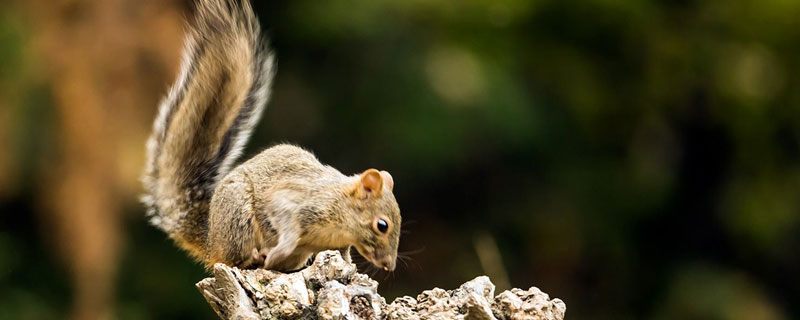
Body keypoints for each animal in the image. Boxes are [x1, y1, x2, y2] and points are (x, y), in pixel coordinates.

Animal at [141, 0, 400, 272]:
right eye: (382, 225)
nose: (389, 266)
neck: (341, 206)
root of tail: (211, 238)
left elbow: (343, 252)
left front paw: (348, 265)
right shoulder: (298, 201)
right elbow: (286, 222)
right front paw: (280, 250)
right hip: (238, 217)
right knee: (234, 258)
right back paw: (256, 257)